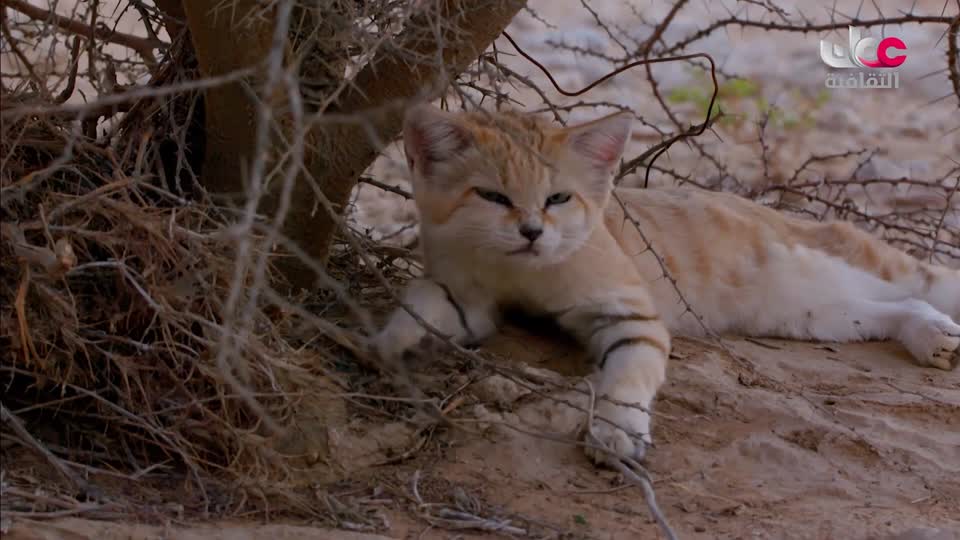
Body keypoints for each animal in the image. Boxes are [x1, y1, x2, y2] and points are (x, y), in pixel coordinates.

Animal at [376, 104, 960, 464]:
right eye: (493, 197)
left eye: (558, 198)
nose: (532, 232)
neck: (521, 273)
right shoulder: (466, 295)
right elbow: (420, 299)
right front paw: (395, 342)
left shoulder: (630, 313)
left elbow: (629, 374)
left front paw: (618, 429)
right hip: (815, 314)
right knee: (900, 306)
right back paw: (931, 337)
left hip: (855, 267)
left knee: (926, 282)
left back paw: (938, 332)